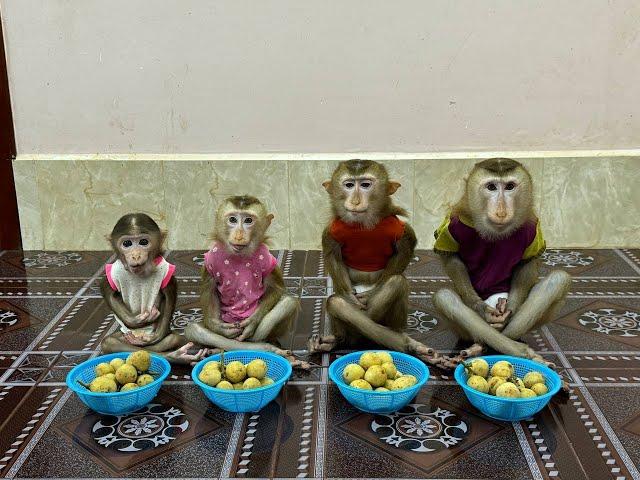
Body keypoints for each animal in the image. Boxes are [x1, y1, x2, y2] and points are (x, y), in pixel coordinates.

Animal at [100, 214, 206, 364]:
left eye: (143, 242)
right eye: (127, 244)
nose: (136, 255)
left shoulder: (165, 268)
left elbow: (169, 291)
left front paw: (156, 336)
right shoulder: (114, 270)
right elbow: (106, 288)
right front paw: (136, 320)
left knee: (172, 339)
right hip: (125, 333)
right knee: (109, 342)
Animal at [184, 195, 308, 368]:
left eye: (248, 220)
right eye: (233, 219)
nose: (239, 235)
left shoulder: (266, 258)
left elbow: (276, 289)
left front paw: (252, 322)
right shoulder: (210, 260)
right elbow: (210, 292)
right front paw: (219, 328)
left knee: (288, 302)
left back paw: (263, 345)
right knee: (193, 329)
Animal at [308, 158, 452, 368]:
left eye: (365, 185)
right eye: (349, 185)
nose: (355, 201)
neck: (363, 224)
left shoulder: (396, 226)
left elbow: (406, 246)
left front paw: (368, 296)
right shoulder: (333, 229)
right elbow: (332, 255)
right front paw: (350, 298)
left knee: (396, 283)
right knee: (335, 301)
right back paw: (339, 338)